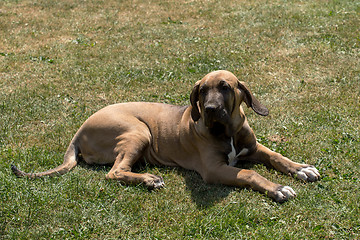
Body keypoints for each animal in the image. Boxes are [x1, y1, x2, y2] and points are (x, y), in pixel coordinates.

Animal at [11, 70, 320, 202]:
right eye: (202, 91)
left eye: (225, 87)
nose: (209, 110)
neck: (227, 131)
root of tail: (78, 131)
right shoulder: (214, 169)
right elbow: (249, 173)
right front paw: (277, 188)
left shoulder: (253, 147)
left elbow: (277, 156)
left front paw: (301, 169)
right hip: (138, 131)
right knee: (114, 172)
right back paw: (149, 179)